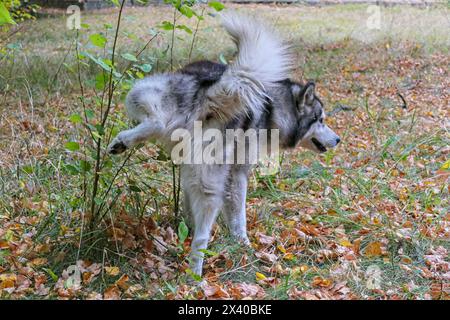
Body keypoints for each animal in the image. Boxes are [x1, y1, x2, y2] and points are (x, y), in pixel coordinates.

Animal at [107, 12, 340, 276]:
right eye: (321, 120)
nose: (338, 139)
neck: (274, 109)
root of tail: (213, 92)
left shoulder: (191, 170)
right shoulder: (238, 174)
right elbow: (238, 216)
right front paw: (244, 243)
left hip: (140, 94)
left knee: (156, 122)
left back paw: (123, 141)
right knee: (202, 236)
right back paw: (196, 273)